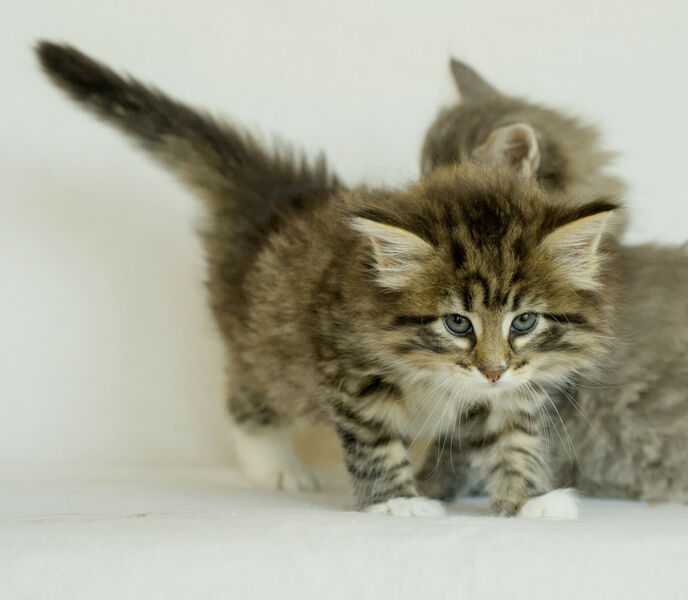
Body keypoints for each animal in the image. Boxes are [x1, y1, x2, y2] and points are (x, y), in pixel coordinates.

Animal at [39, 43, 620, 516]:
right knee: (244, 393)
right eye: (457, 323)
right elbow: (375, 440)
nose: (493, 370)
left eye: (524, 322)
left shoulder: (514, 387)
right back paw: (273, 463)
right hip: (270, 353)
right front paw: (395, 503)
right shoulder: (348, 367)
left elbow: (513, 436)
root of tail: (278, 195)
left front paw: (530, 498)